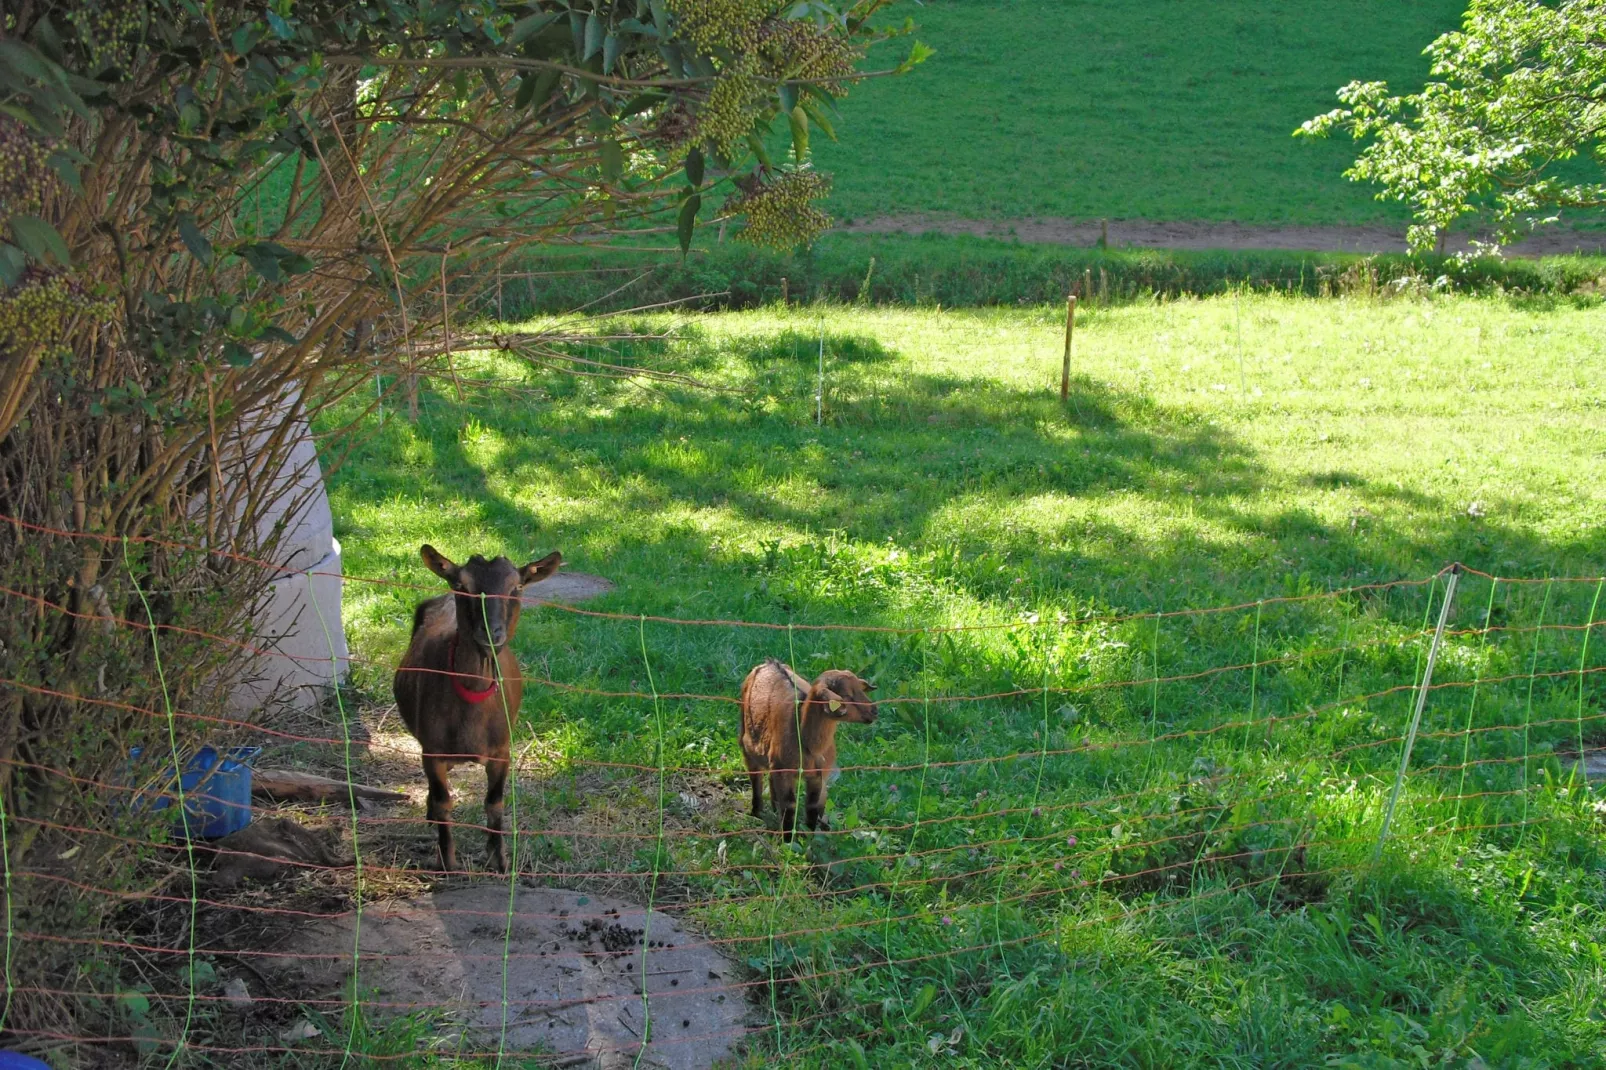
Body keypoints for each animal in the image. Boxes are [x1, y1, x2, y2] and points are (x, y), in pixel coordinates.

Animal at [391, 543, 562, 867]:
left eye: (516, 587)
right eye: (462, 585)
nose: (490, 633)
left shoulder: (502, 750)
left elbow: (495, 803)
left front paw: (499, 860)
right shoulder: (432, 751)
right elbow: (444, 803)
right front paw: (448, 863)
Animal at [738, 655, 880, 835]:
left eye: (861, 689)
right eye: (847, 695)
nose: (874, 711)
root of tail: (769, 662)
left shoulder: (817, 776)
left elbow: (812, 807)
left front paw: (808, 836)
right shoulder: (784, 772)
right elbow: (789, 806)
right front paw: (787, 839)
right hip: (746, 742)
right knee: (756, 778)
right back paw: (756, 812)